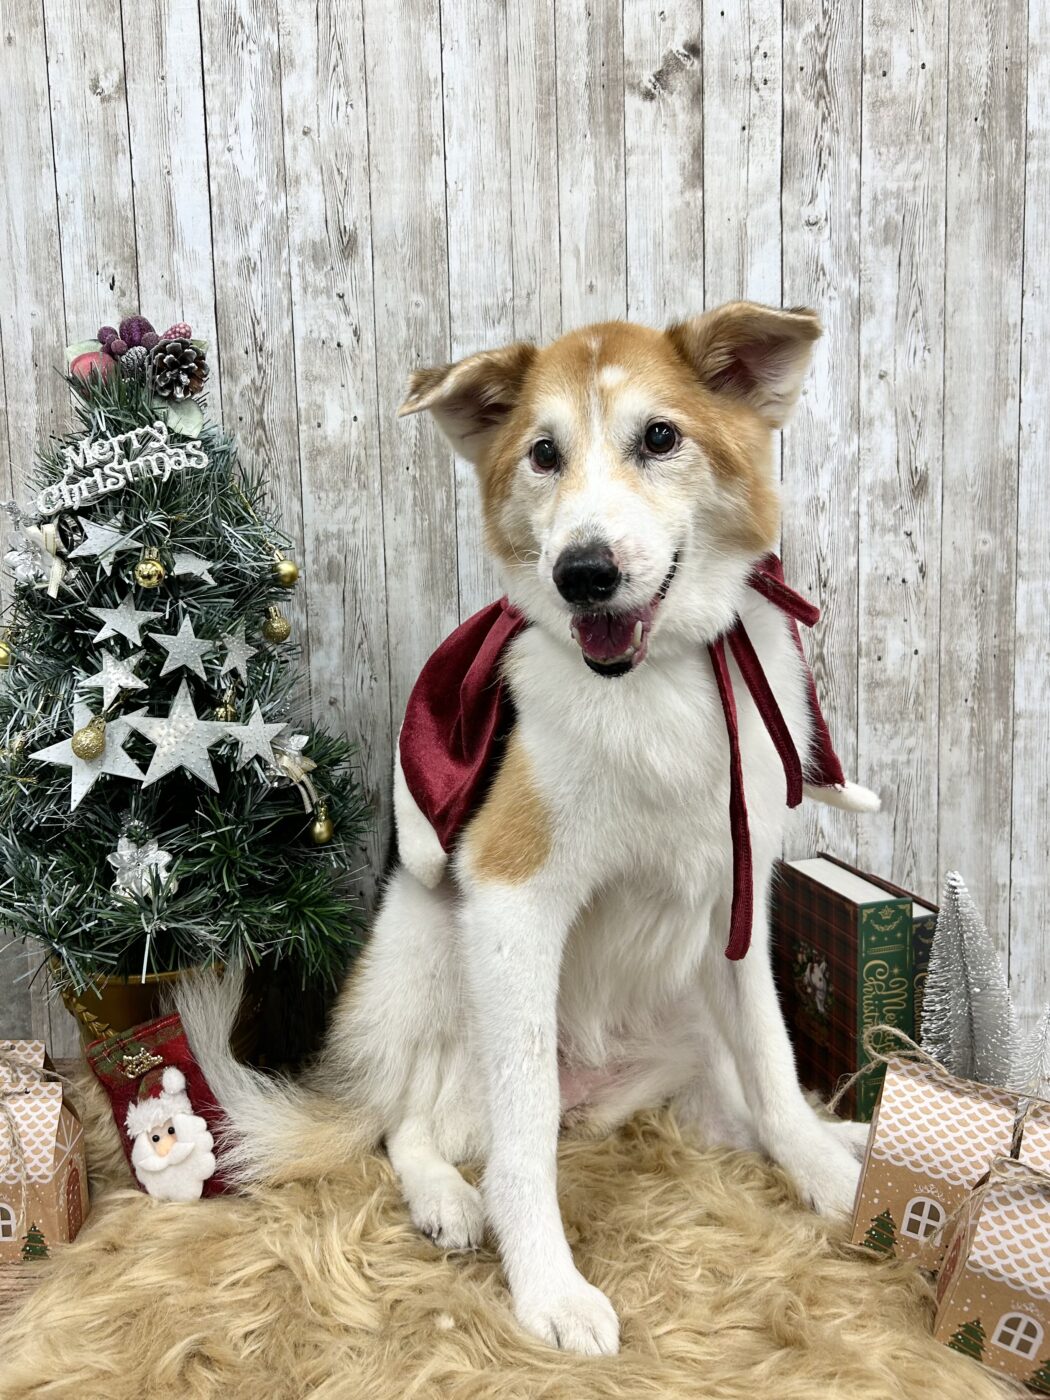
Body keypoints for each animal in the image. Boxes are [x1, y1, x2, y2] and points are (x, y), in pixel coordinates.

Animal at [182, 301, 879, 1357]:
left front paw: (826, 1171)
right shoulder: (512, 899)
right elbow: (523, 1136)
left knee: (715, 1096)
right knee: (410, 1121)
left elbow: (772, 1058)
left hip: (677, 1023)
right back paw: (446, 1199)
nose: (583, 574)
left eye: (660, 438)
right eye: (543, 454)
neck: (655, 681)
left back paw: (842, 1139)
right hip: (432, 951)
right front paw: (547, 1285)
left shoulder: (737, 895)